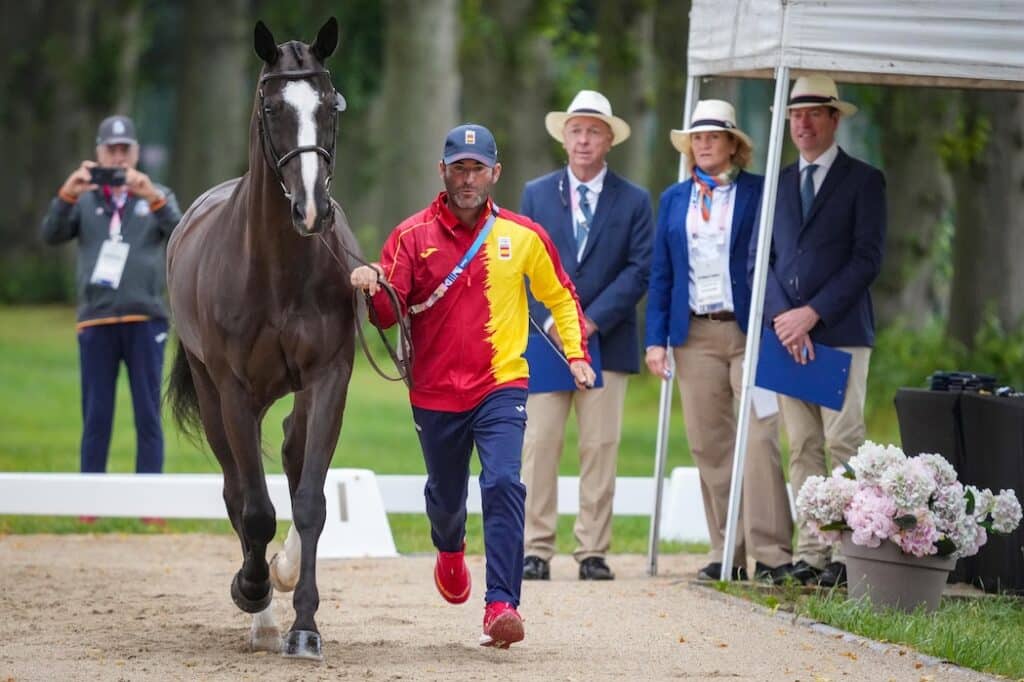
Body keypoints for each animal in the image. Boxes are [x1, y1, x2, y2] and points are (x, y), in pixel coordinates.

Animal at [166, 17, 359, 661]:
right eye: (272, 107)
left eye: (329, 104)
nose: (312, 210)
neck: (279, 269)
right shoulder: (235, 393)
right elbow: (253, 509)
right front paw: (253, 592)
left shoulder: (329, 380)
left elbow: (311, 501)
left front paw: (305, 626)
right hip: (212, 396)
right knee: (235, 490)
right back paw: (261, 608)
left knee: (295, 461)